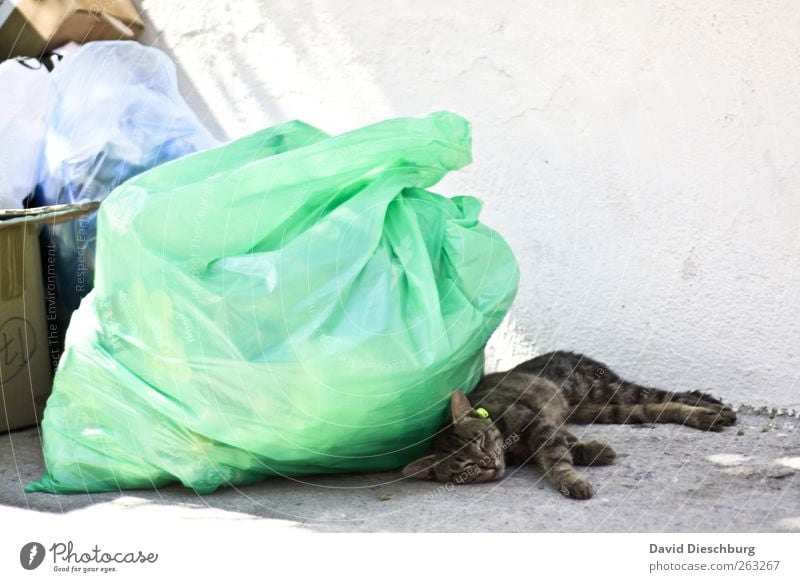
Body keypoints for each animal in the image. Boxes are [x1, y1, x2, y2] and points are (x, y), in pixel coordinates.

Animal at [406, 354, 736, 500]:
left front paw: (572, 480)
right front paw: (597, 452)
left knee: (665, 394)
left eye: (481, 441)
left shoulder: (538, 424)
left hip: (606, 390)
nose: (489, 463)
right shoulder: (552, 427)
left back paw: (715, 409)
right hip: (606, 410)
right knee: (654, 409)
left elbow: (556, 457)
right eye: (466, 468)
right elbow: (570, 445)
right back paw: (706, 417)